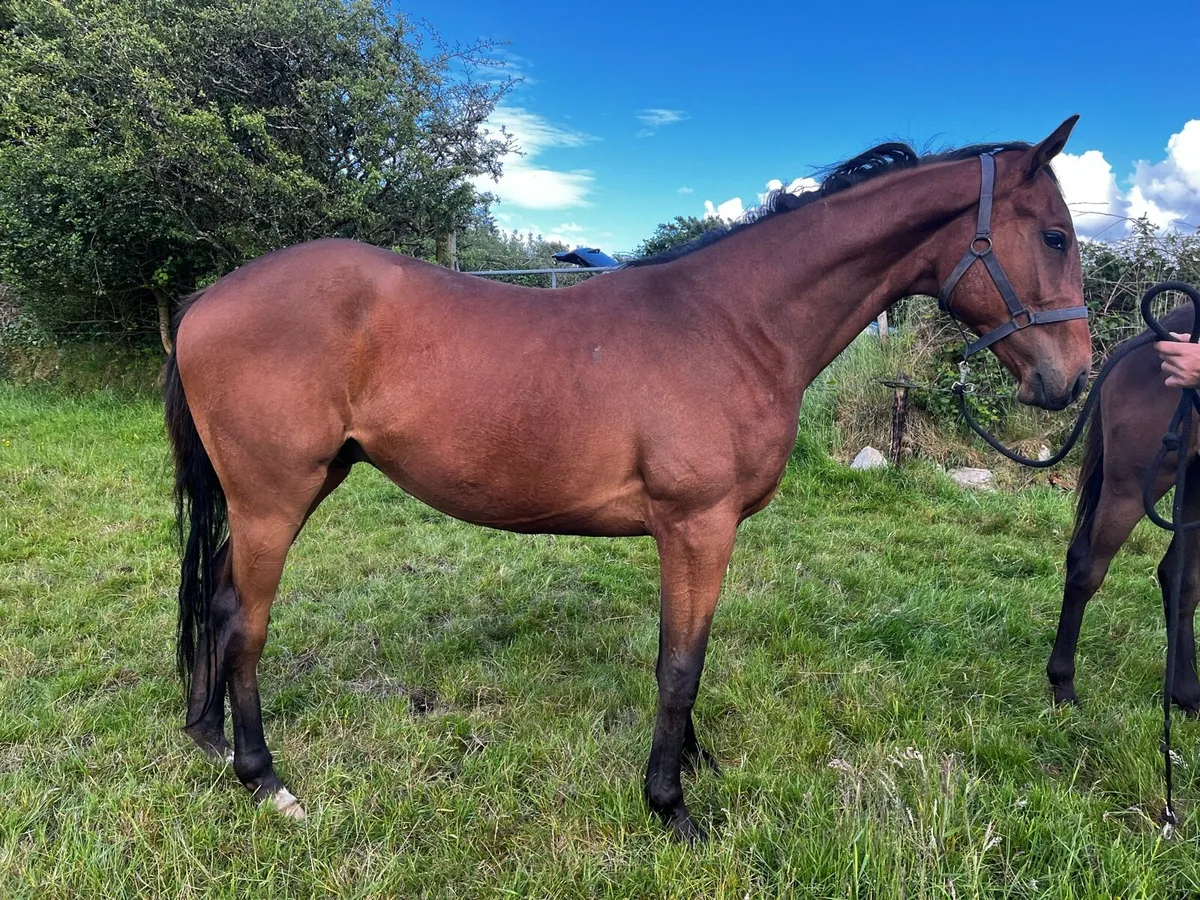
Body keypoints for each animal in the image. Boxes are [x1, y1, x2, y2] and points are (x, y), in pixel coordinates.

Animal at [164, 116, 1090, 842]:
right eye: (1055, 236)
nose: (1070, 378)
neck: (734, 323)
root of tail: (207, 300)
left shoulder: (694, 534)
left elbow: (680, 660)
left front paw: (694, 764)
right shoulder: (698, 525)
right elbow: (681, 663)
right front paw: (670, 804)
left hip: (291, 491)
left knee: (217, 598)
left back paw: (207, 738)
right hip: (273, 499)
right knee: (245, 620)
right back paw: (262, 776)